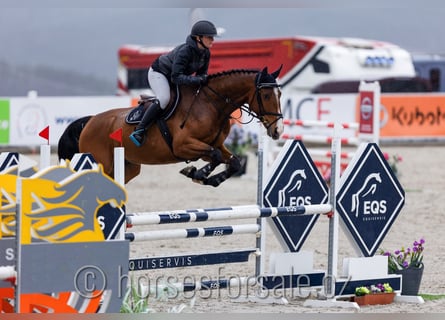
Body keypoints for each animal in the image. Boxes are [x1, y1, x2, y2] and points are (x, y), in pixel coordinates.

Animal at [57, 67, 282, 188]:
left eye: (279, 94)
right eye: (266, 95)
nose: (277, 130)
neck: (212, 104)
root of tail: (90, 121)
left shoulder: (212, 146)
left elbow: (233, 161)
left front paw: (208, 179)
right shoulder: (183, 145)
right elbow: (216, 157)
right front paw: (195, 174)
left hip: (129, 166)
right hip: (102, 161)